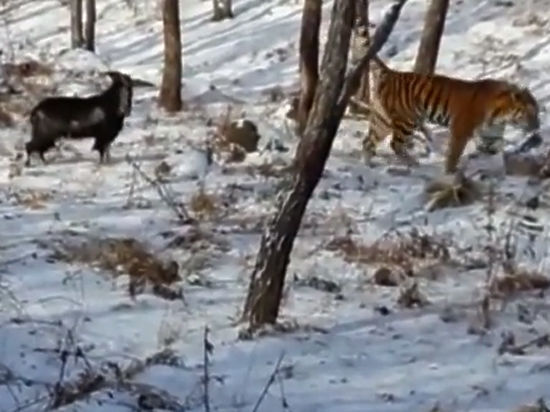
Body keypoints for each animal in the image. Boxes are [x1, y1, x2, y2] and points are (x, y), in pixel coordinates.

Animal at [362, 56, 540, 174]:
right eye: (530, 113)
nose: (537, 125)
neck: (500, 117)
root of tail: (391, 73)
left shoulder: (491, 136)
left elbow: (497, 154)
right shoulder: (460, 130)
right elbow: (454, 154)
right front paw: (450, 173)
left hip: (382, 121)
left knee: (368, 142)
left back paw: (368, 167)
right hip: (406, 120)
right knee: (395, 144)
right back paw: (415, 164)